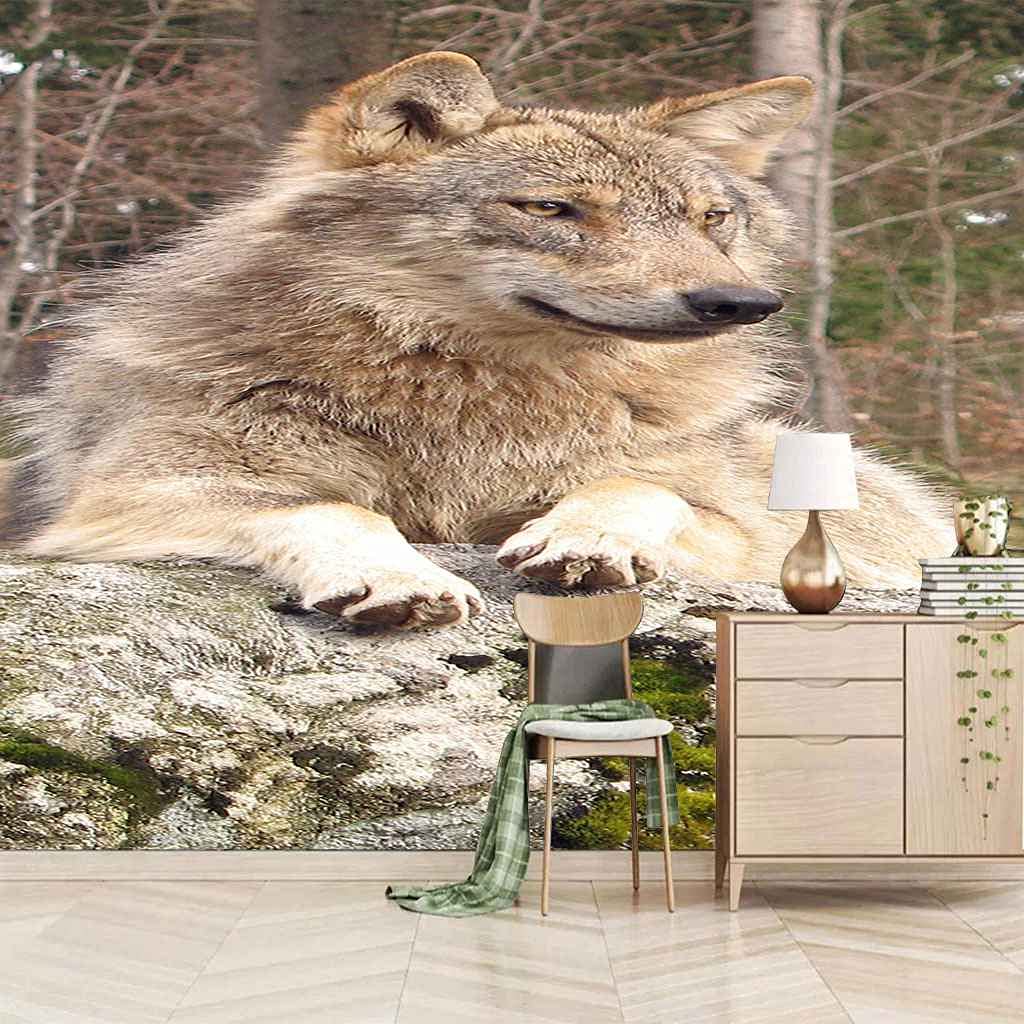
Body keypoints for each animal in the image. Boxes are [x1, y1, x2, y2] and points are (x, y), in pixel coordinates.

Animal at [4, 51, 951, 628]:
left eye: (709, 218)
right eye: (553, 209)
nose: (743, 301)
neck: (474, 400)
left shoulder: (743, 535)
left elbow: (643, 490)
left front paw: (589, 538)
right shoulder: (120, 499)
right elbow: (333, 507)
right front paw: (402, 574)